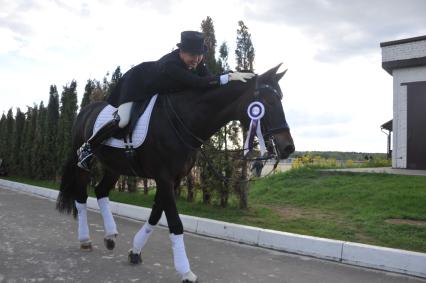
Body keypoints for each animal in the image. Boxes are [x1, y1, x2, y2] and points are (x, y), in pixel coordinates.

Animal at [56, 65, 294, 283]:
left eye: (281, 99)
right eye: (269, 102)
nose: (288, 148)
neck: (184, 120)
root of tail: (85, 111)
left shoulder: (174, 179)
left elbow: (155, 215)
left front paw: (135, 251)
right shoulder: (164, 178)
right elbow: (175, 223)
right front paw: (185, 271)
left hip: (115, 166)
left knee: (101, 191)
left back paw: (110, 236)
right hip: (84, 164)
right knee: (81, 197)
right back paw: (85, 239)